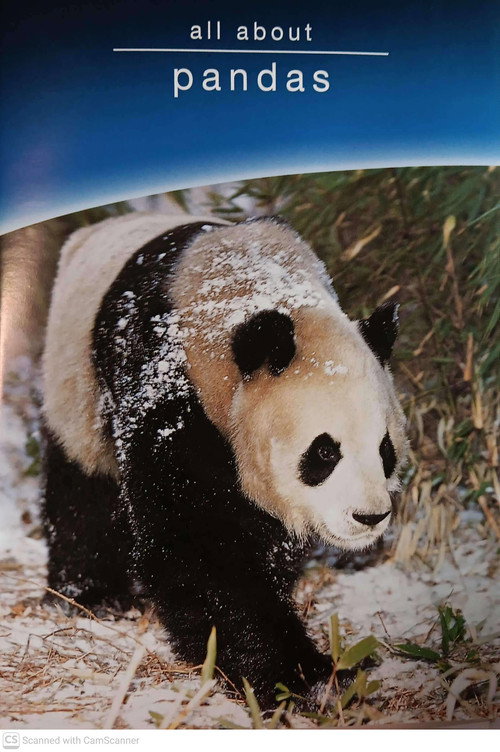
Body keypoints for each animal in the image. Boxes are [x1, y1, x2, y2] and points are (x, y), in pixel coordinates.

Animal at [42, 212, 407, 708]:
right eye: (324, 452)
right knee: (82, 491)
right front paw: (305, 676)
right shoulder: (172, 391)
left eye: (385, 449)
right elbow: (200, 549)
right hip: (75, 384)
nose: (368, 517)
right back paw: (90, 595)